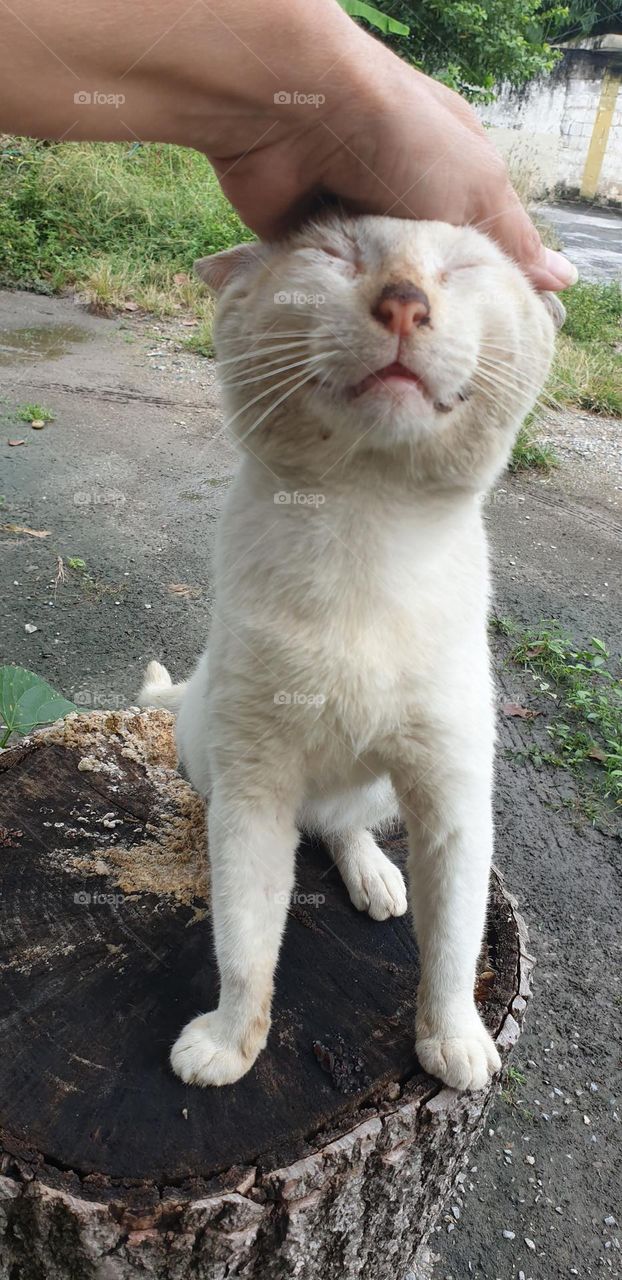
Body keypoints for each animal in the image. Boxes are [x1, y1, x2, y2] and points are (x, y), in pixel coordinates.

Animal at [139, 215, 558, 1095]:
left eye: (460, 266)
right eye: (334, 253)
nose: (404, 301)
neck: (366, 525)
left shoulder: (454, 794)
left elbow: (455, 942)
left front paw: (455, 1037)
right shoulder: (254, 790)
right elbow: (245, 939)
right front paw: (229, 1040)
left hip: (381, 787)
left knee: (345, 828)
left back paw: (373, 873)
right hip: (205, 744)